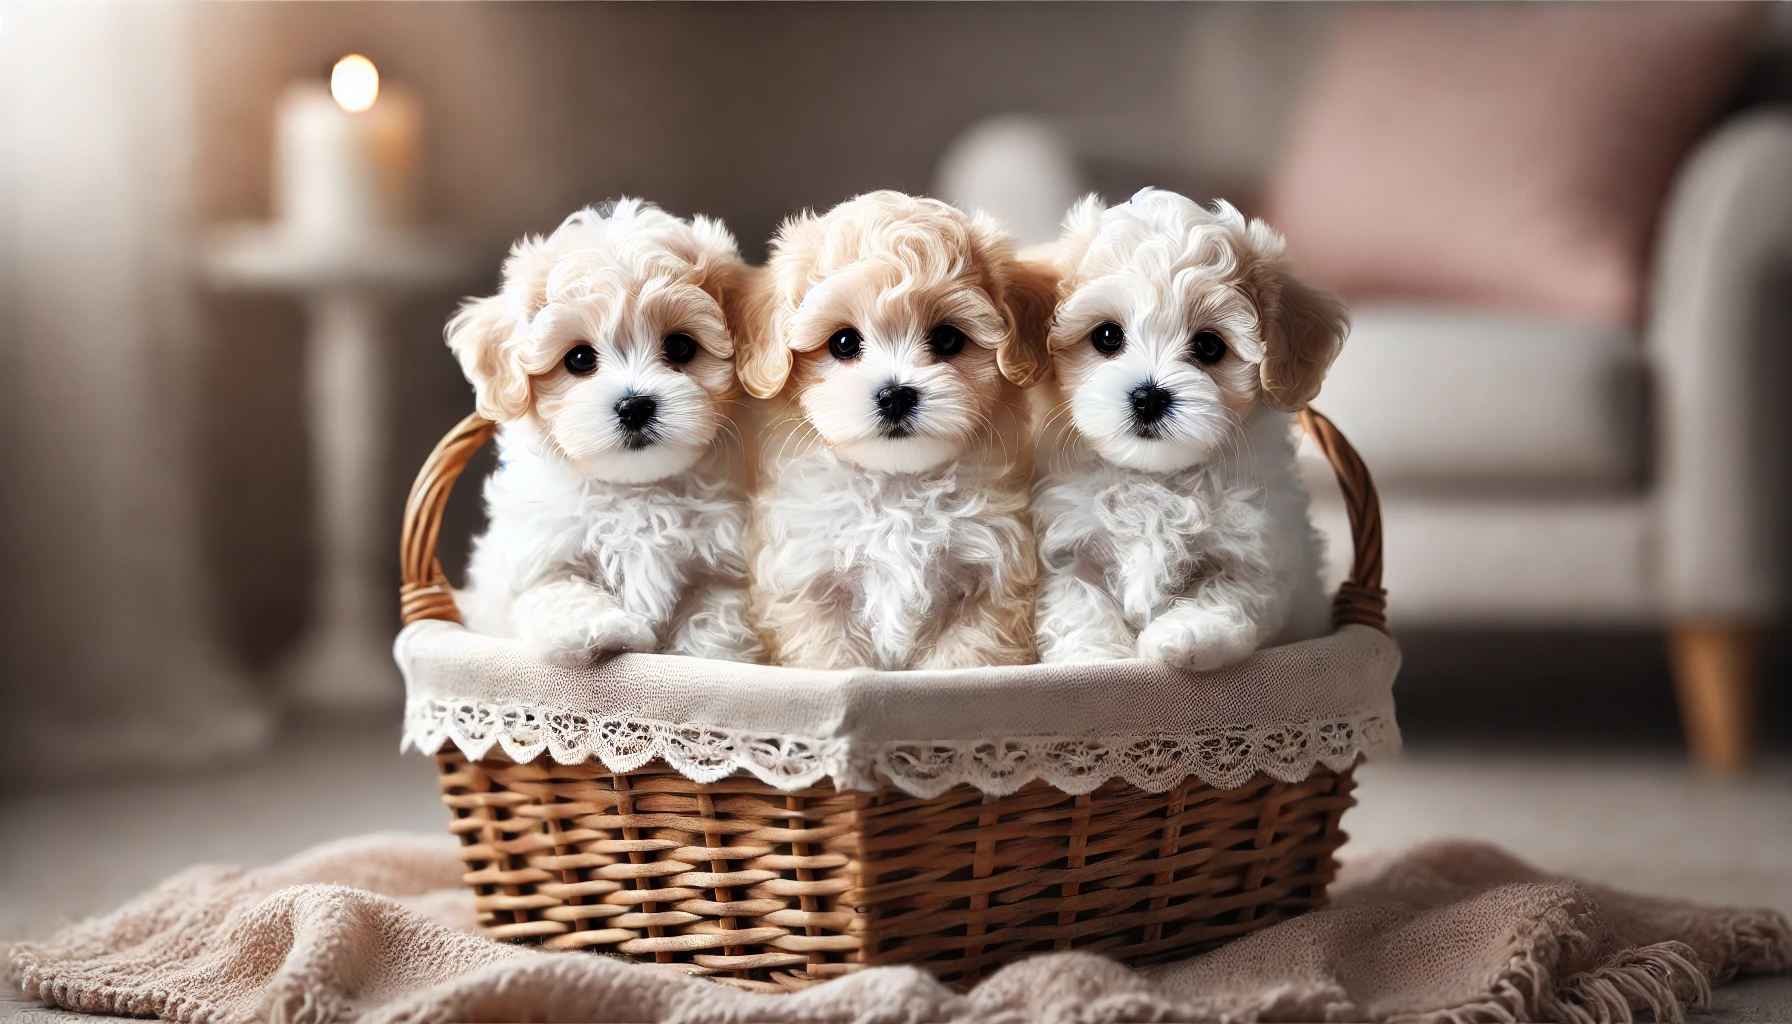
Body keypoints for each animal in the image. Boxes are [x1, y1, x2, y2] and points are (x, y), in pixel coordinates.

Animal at [448, 199, 763, 663]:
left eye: (680, 347)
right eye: (579, 358)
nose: (635, 407)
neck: (637, 490)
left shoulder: (724, 566)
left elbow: (715, 613)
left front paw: (699, 656)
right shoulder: (538, 552)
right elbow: (560, 592)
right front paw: (598, 630)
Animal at [738, 191, 1053, 674]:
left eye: (947, 339)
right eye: (844, 343)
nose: (895, 396)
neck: (896, 487)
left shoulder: (993, 576)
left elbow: (965, 659)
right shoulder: (806, 582)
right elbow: (830, 658)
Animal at [1032, 190, 1347, 674]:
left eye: (1209, 346)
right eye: (1107, 336)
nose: (1148, 397)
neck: (1155, 480)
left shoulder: (1256, 550)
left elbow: (1224, 595)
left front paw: (1187, 636)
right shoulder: (1068, 547)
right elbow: (1080, 606)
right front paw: (1092, 661)